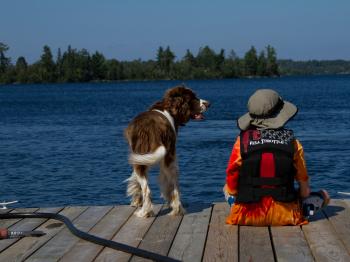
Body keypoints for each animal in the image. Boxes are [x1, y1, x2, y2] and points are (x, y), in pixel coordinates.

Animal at [124, 86, 209, 217]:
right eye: (193, 98)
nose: (208, 104)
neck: (168, 108)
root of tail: (151, 129)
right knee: (169, 186)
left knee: (153, 188)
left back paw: (150, 212)